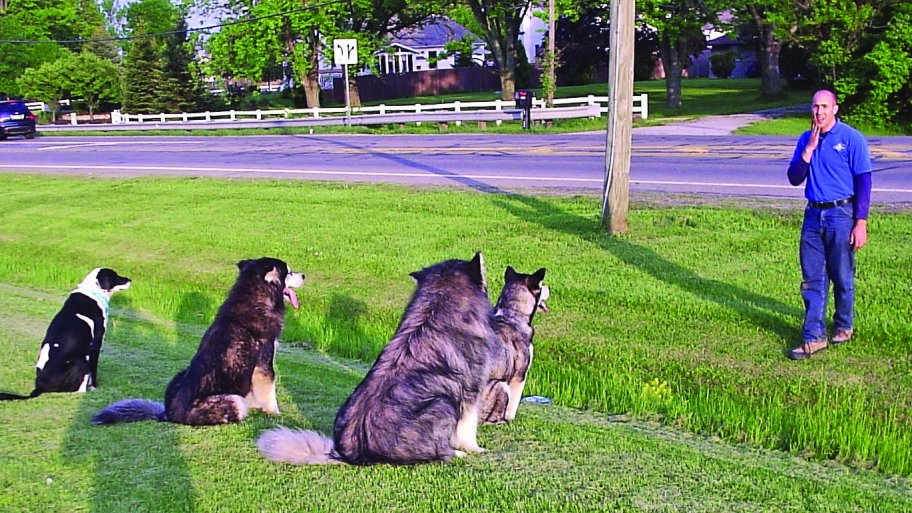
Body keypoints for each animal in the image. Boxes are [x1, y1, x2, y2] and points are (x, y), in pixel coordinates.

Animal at [95, 258, 304, 426]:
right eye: (289, 272)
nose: (304, 275)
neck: (255, 297)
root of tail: (168, 415)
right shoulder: (264, 365)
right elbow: (269, 396)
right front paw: (276, 415)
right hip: (233, 401)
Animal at [256, 252, 498, 464]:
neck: (438, 304)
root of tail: (350, 454)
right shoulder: (471, 388)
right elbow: (467, 427)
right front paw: (475, 449)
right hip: (442, 403)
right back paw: (456, 453)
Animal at [480, 264, 544, 424]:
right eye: (541, 285)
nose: (549, 288)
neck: (511, 314)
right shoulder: (520, 375)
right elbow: (514, 402)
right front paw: (511, 418)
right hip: (500, 386)